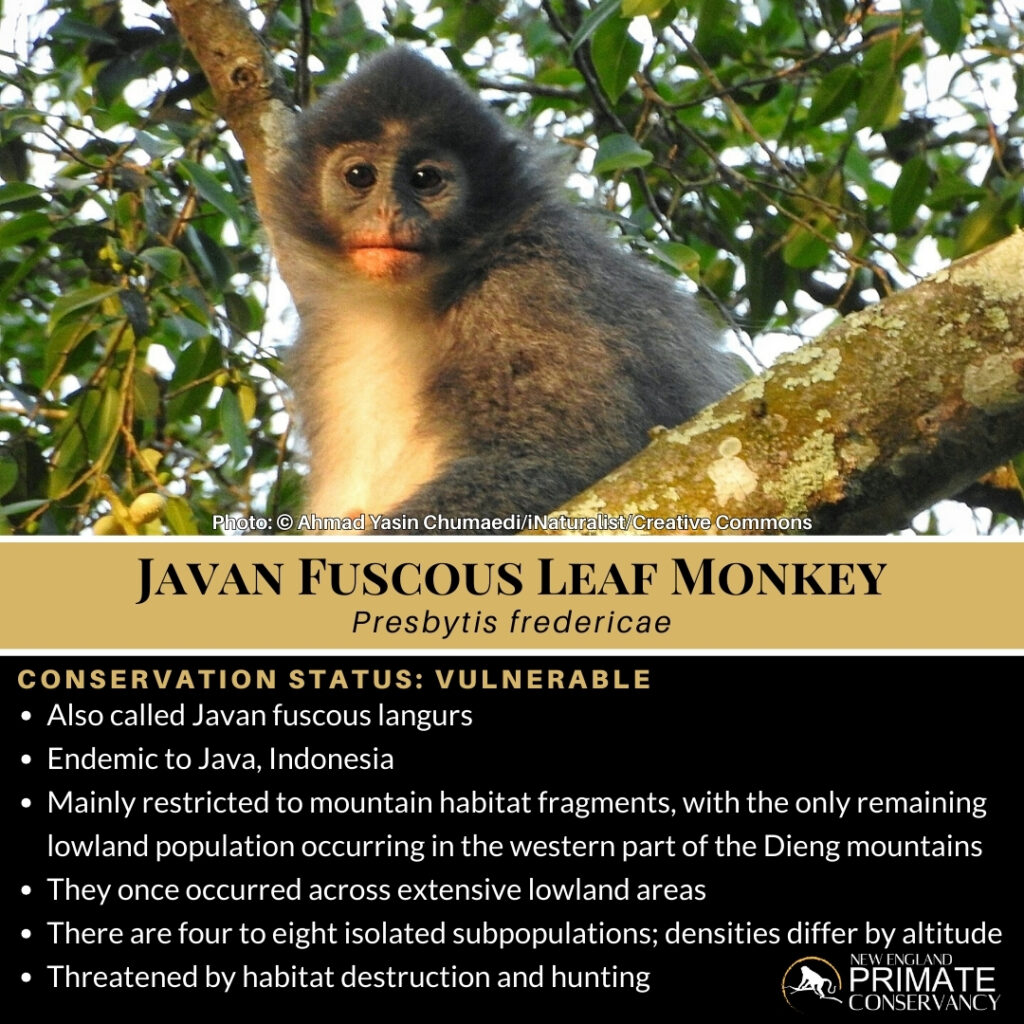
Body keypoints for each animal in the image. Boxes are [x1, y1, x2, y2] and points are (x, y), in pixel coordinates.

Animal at [271, 48, 739, 533]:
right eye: (360, 175)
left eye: (424, 179)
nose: (388, 212)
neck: (400, 307)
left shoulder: (529, 292)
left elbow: (573, 454)